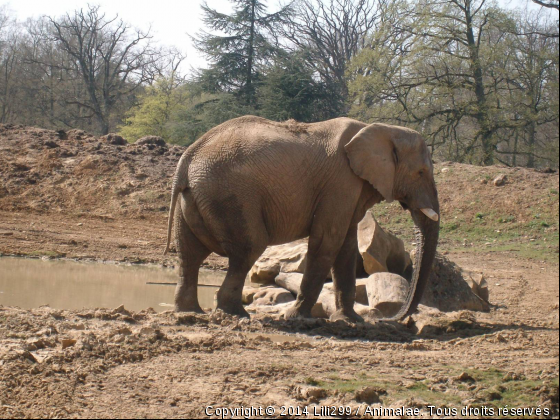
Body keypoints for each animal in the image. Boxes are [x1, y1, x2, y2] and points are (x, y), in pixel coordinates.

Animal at [164, 115, 440, 322]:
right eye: (421, 172)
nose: (390, 318)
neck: (380, 129)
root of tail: (188, 157)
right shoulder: (340, 183)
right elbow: (327, 241)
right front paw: (296, 317)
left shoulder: (349, 189)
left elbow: (347, 246)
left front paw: (350, 321)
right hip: (231, 197)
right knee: (248, 249)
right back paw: (236, 314)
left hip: (195, 198)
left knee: (189, 255)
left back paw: (191, 312)